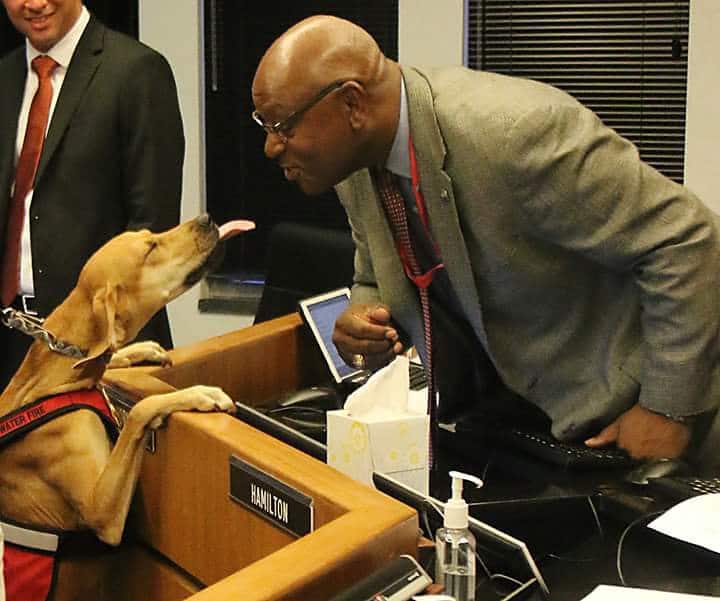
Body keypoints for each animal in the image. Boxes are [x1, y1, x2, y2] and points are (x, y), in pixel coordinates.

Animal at [0, 213, 242, 596]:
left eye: (150, 235)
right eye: (151, 248)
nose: (206, 218)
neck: (54, 379)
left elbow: (109, 355)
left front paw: (138, 350)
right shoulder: (101, 513)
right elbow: (140, 410)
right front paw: (197, 393)